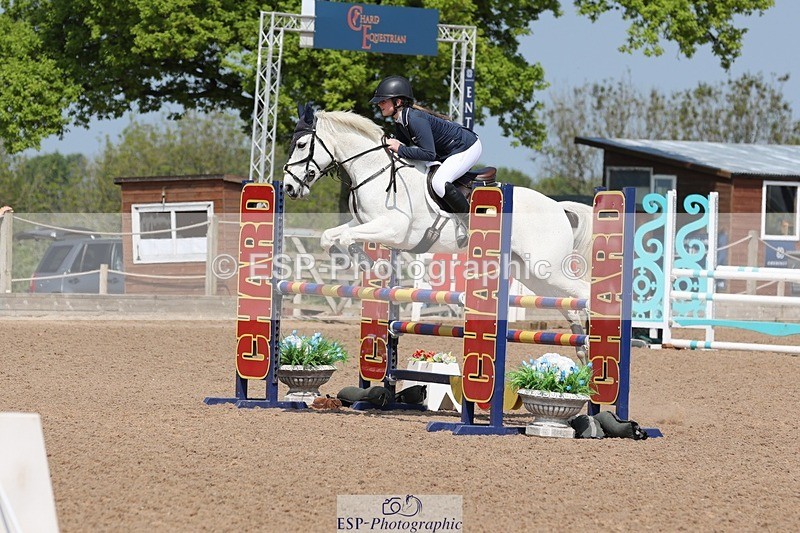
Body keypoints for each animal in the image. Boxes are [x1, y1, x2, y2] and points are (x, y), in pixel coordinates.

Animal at [282, 104, 593, 356]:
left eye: (301, 144)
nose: (288, 188)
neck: (374, 170)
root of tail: (559, 208)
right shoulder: (364, 223)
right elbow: (329, 236)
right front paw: (341, 257)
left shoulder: (393, 229)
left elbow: (348, 238)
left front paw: (366, 262)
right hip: (532, 273)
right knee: (566, 302)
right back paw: (582, 349)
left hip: (546, 267)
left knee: (583, 292)